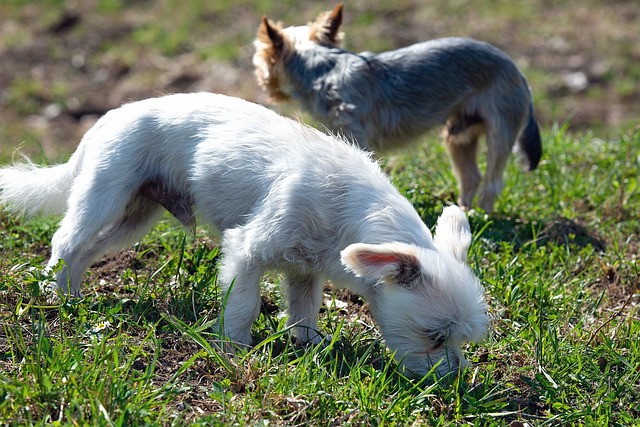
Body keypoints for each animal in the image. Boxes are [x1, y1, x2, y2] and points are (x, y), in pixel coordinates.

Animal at [0, 93, 488, 378]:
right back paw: (52, 295)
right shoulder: (246, 252)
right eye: (435, 336)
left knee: (86, 251)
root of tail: (105, 119)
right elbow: (243, 306)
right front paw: (233, 350)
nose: (456, 379)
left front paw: (307, 345)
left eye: (462, 340)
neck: (349, 207)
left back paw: (72, 296)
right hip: (105, 193)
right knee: (66, 242)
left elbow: (303, 311)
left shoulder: (305, 270)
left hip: (134, 218)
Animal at [252, 5, 544, 214]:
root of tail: (520, 74)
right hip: (459, 133)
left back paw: (483, 216)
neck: (323, 69)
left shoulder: (355, 133)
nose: (263, 84)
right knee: (470, 175)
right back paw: (463, 212)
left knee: (493, 180)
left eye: (260, 62)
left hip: (501, 125)